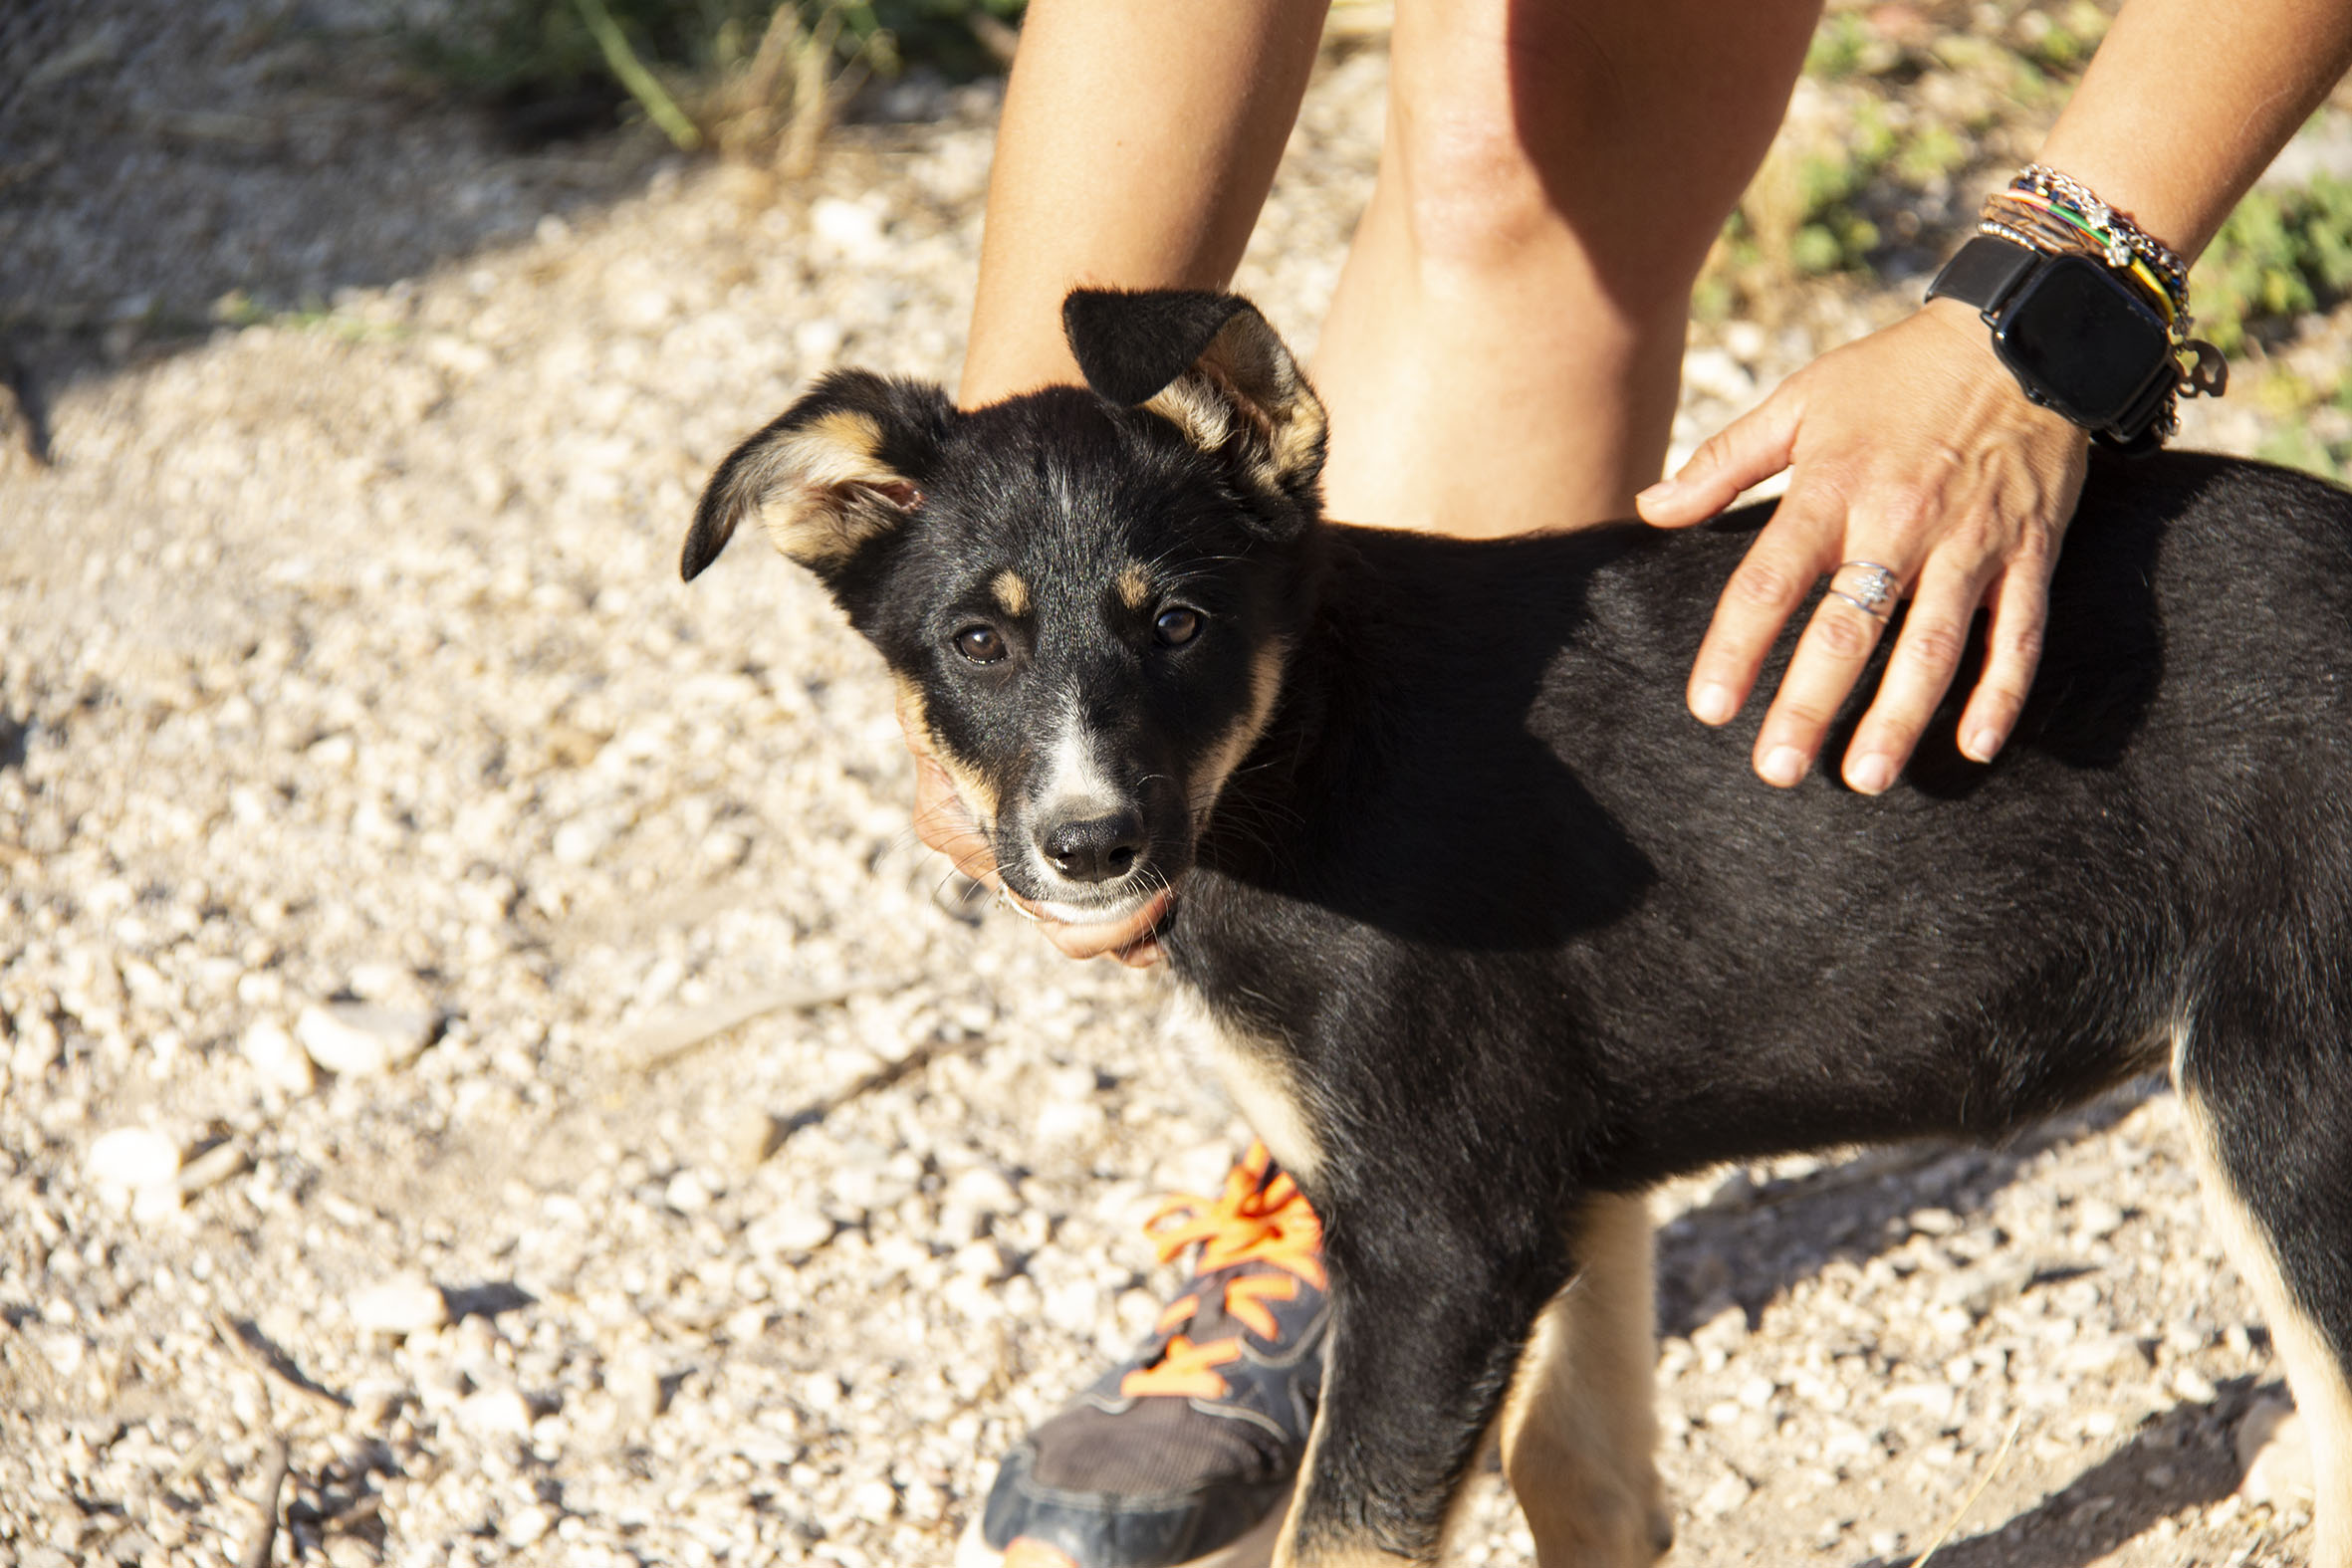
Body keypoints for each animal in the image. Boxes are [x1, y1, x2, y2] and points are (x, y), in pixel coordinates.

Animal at [681, 288, 2352, 1568]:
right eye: (976, 640)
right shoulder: (1564, 1178)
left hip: (2281, 1092)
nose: (1089, 842)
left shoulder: (1442, 1232)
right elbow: (1579, 1478)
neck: (1309, 741)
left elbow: (1342, 1537)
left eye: (1180, 625)